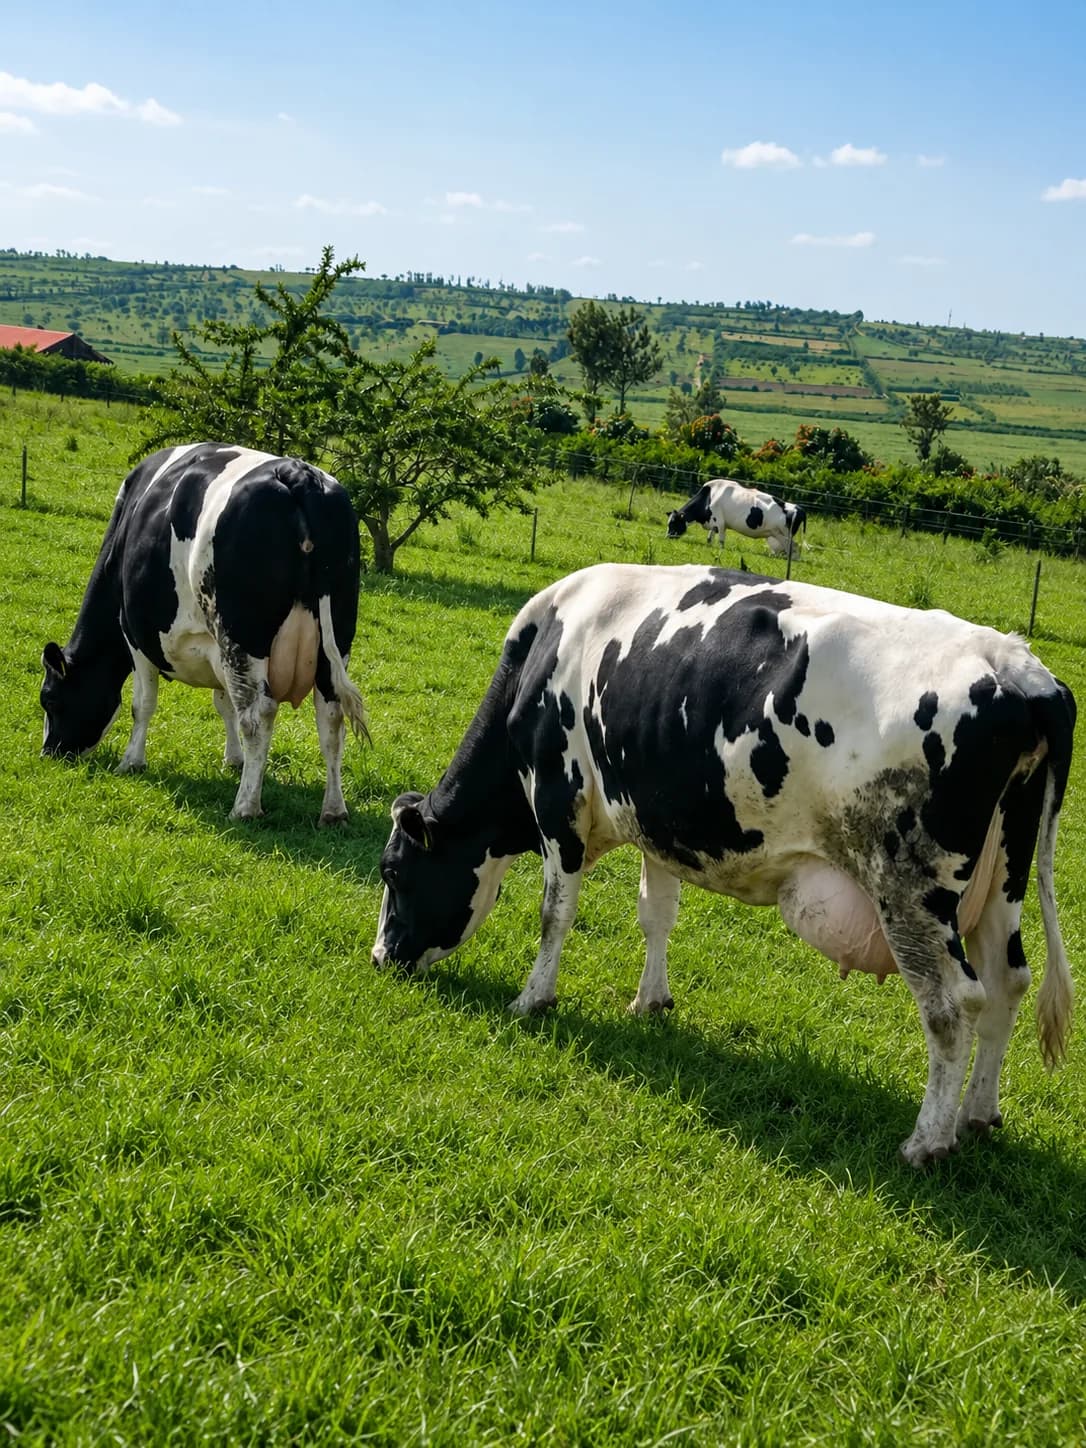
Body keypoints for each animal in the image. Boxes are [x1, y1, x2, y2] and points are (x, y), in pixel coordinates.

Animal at [40, 443, 368, 824]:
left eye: (50, 699)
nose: (51, 753)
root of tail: (297, 474)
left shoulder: (136, 636)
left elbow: (142, 704)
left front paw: (131, 761)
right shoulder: (215, 648)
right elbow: (224, 705)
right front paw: (234, 759)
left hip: (245, 637)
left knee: (258, 715)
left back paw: (245, 807)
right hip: (335, 642)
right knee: (330, 716)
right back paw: (333, 810)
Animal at [372, 563, 1076, 1167]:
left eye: (392, 873)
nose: (380, 958)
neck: (541, 652)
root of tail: (1015, 664)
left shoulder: (557, 800)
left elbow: (555, 913)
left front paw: (532, 999)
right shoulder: (653, 820)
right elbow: (655, 915)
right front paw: (649, 1001)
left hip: (910, 890)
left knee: (955, 1003)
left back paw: (928, 1141)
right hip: (1004, 877)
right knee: (1008, 982)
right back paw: (977, 1115)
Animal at [667, 479, 806, 557]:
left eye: (673, 523)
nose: (667, 537)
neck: (709, 497)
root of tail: (797, 507)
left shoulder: (720, 522)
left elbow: (721, 540)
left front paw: (720, 550)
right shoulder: (714, 523)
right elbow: (710, 537)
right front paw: (709, 546)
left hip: (784, 535)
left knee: (794, 547)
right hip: (776, 534)